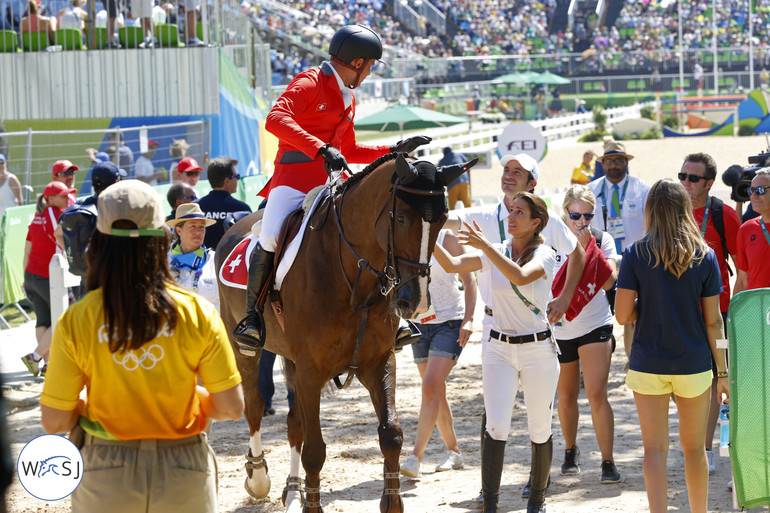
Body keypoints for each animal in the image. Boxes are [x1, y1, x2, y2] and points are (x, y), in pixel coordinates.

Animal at [213, 153, 472, 512]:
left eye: (442, 220)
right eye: (401, 218)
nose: (414, 300)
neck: (352, 274)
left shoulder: (378, 363)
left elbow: (391, 434)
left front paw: (391, 502)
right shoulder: (311, 371)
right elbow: (314, 450)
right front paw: (310, 504)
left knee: (294, 423)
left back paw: (292, 491)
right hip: (245, 349)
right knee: (254, 405)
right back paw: (259, 478)